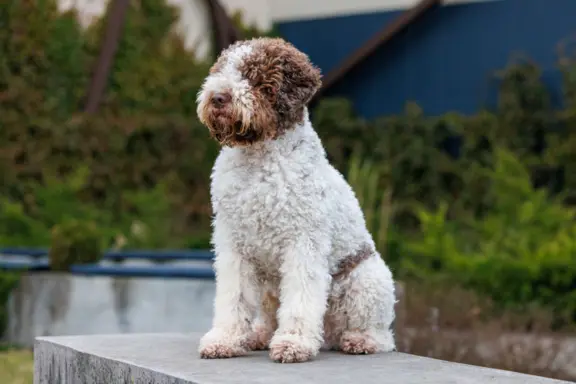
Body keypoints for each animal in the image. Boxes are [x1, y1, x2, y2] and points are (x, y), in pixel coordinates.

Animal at [195, 36, 396, 364]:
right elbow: (233, 296)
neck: (258, 162)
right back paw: (258, 335)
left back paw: (360, 340)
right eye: (220, 70)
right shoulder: (233, 242)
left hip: (368, 279)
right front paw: (225, 339)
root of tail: (330, 335)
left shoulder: (303, 241)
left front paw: (293, 343)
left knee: (382, 334)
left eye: (255, 77)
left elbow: (301, 297)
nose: (218, 97)